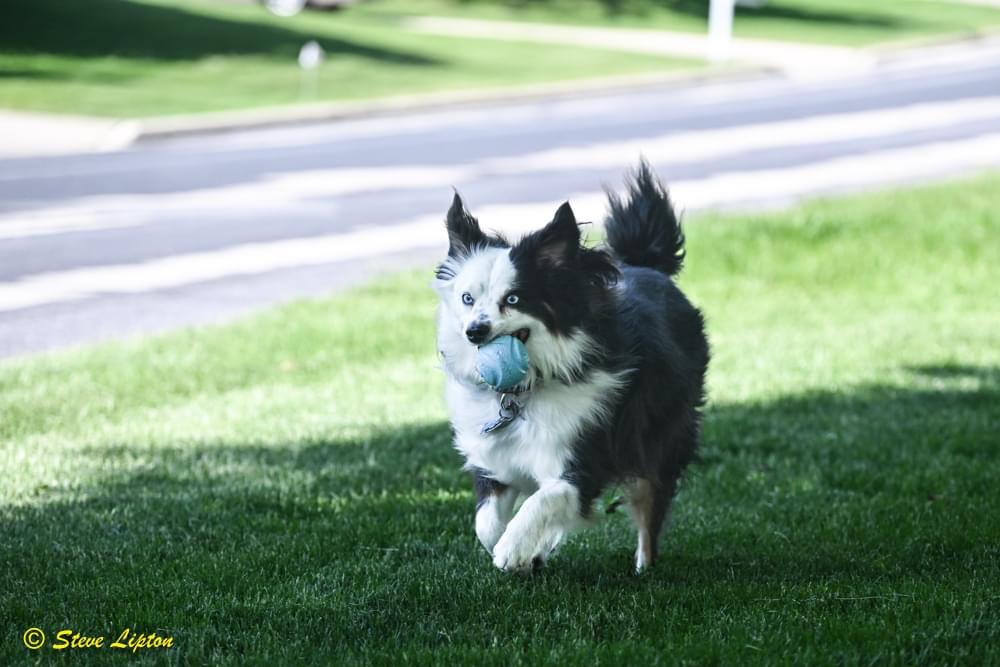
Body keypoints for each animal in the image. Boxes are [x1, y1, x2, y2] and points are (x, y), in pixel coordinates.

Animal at [433, 161, 709, 573]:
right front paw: (519, 549)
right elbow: (486, 523)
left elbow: (544, 499)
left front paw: (512, 548)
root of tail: (648, 267)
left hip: (658, 434)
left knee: (650, 501)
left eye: (513, 299)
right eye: (467, 299)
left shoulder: (583, 453)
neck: (523, 390)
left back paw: (643, 566)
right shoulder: (494, 457)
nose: (475, 332)